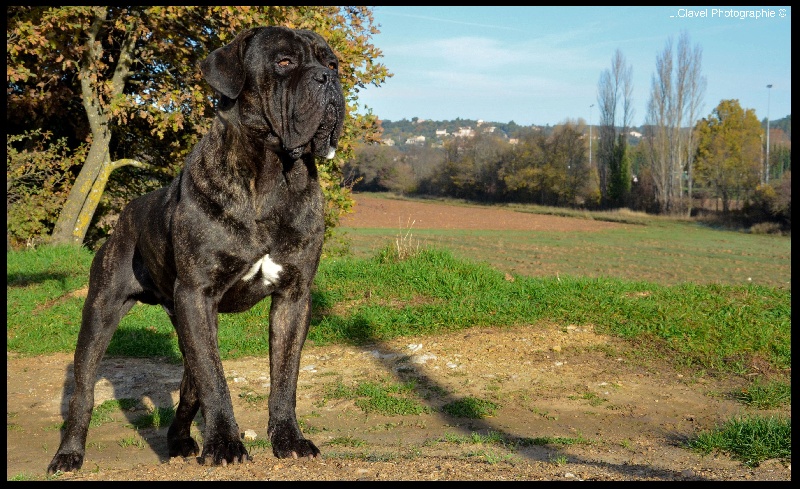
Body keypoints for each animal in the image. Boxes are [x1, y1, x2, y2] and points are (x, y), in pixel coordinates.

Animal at [47, 26, 346, 472]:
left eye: (331, 62)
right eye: (285, 62)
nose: (329, 80)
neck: (271, 177)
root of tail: (126, 213)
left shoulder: (293, 297)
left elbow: (284, 376)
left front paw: (288, 439)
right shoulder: (197, 293)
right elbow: (215, 380)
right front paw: (224, 445)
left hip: (188, 318)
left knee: (191, 385)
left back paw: (181, 442)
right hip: (102, 311)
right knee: (85, 391)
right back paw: (68, 454)